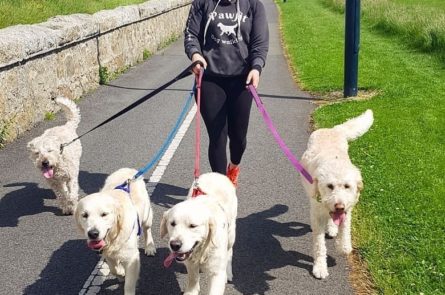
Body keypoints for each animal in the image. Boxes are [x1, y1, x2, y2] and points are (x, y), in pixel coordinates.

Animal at [300, 110, 372, 280]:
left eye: (347, 186)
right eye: (329, 186)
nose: (339, 206)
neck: (334, 161)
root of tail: (333, 129)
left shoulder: (348, 209)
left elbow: (345, 231)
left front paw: (343, 245)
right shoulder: (317, 214)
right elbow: (319, 245)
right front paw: (320, 267)